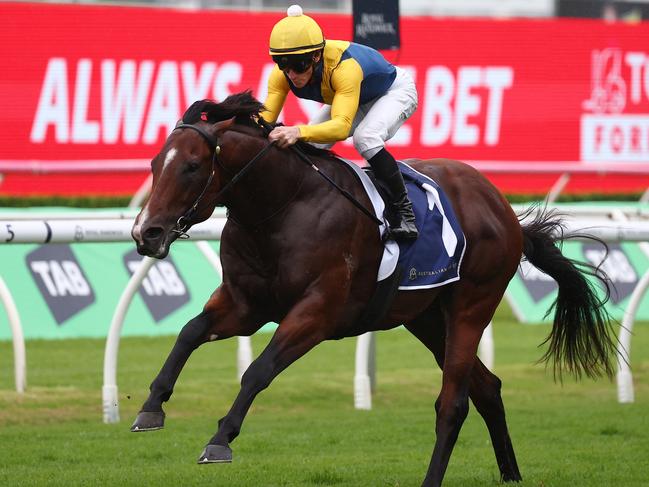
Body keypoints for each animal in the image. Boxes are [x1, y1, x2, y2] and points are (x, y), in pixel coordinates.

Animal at [129, 92, 616, 487]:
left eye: (192, 167)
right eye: (154, 165)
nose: (145, 233)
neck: (284, 205)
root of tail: (503, 209)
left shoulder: (317, 312)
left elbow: (258, 370)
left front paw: (220, 439)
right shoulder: (246, 304)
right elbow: (190, 332)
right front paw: (150, 407)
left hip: (472, 306)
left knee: (453, 402)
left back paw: (433, 479)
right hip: (426, 318)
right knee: (488, 388)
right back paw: (511, 474)